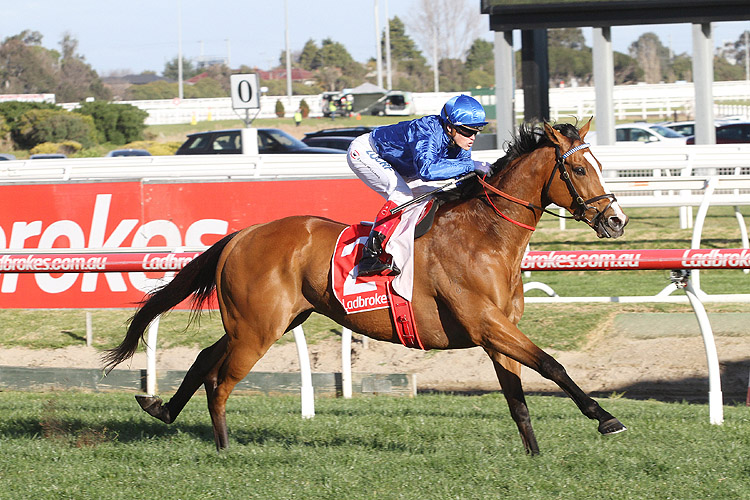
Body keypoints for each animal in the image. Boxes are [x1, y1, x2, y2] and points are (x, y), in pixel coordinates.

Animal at [104, 120, 628, 454]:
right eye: (578, 169)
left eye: (599, 164)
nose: (616, 221)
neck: (485, 236)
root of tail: (242, 234)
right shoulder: (486, 324)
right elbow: (553, 365)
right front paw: (605, 418)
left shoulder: (497, 333)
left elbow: (518, 398)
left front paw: (535, 454)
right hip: (257, 329)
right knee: (220, 379)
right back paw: (224, 447)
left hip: (265, 320)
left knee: (203, 358)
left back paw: (161, 408)